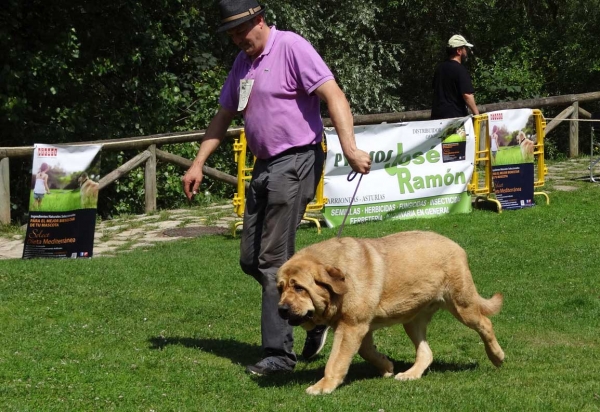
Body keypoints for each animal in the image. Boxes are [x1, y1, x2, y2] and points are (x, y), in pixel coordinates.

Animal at [278, 232, 504, 396]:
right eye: (280, 288)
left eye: (299, 288)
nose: (282, 309)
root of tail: (456, 246)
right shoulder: (360, 328)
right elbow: (366, 352)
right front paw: (386, 366)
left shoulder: (351, 326)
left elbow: (336, 361)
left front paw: (323, 386)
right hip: (412, 319)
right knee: (426, 352)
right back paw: (411, 374)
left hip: (462, 306)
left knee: (486, 323)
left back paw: (497, 356)